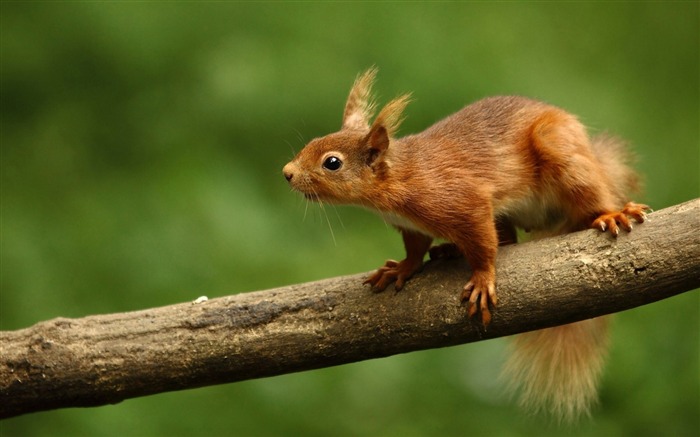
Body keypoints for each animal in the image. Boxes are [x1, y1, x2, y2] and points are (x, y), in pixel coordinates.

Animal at [282, 69, 648, 422]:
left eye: (332, 162)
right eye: (313, 142)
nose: (286, 173)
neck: (401, 177)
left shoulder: (465, 203)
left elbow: (483, 245)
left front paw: (483, 279)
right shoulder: (411, 226)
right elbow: (416, 249)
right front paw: (401, 268)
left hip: (561, 153)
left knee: (588, 198)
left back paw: (612, 213)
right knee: (508, 238)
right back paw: (450, 250)